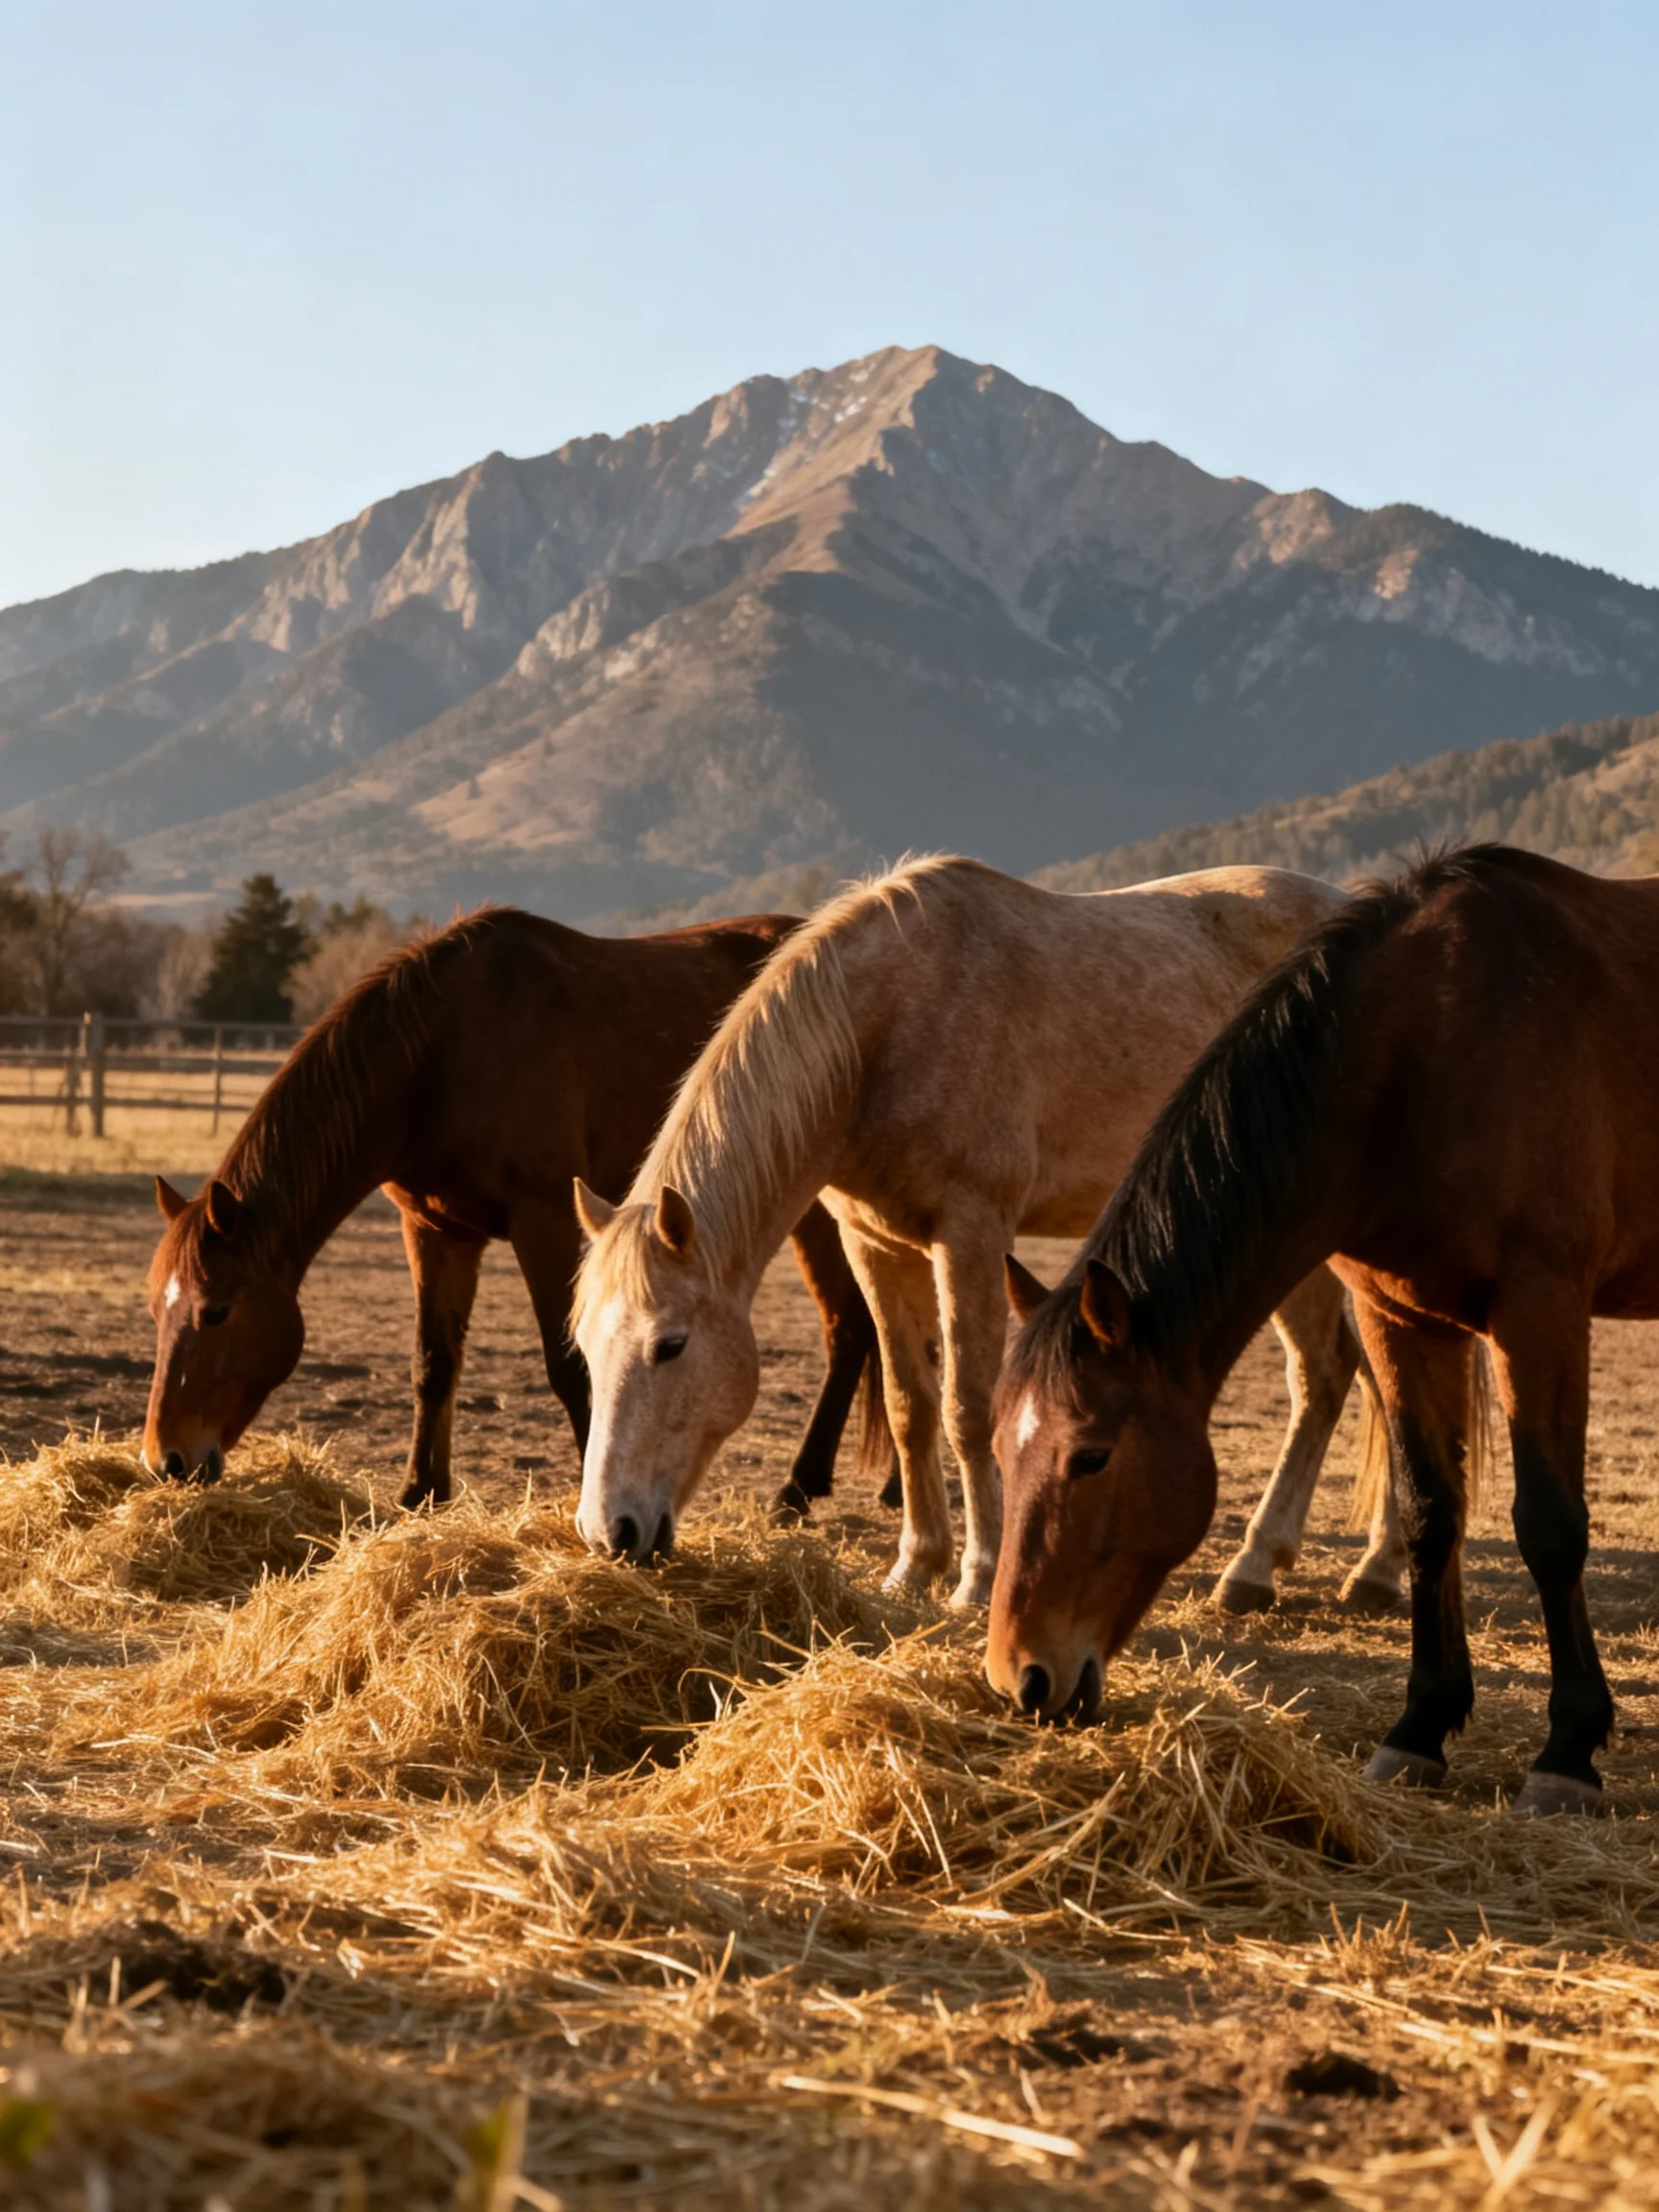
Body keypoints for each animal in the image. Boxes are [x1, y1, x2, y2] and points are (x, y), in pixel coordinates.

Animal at [144, 908, 881, 1511]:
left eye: (215, 1312)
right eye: (156, 1310)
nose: (166, 1459)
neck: (440, 1053)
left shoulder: (545, 1222)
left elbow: (569, 1368)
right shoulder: (435, 1231)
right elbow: (434, 1362)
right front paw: (421, 1490)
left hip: (817, 1213)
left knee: (851, 1329)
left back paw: (799, 1488)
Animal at [571, 854, 1401, 1611]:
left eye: (670, 1345)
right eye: (584, 1347)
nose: (609, 1532)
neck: (884, 1027)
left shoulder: (969, 1234)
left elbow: (968, 1407)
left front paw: (976, 1576)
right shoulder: (874, 1245)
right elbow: (911, 1405)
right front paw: (915, 1566)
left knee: (1341, 1377)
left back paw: (1289, 1567)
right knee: (1358, 1375)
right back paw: (1341, 1564)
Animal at [984, 842, 1659, 1815]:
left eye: (1092, 1457)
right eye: (1001, 1453)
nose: (1020, 1678)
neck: (1429, 1050)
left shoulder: (1543, 1309)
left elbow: (1550, 1525)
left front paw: (1567, 1749)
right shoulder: (1398, 1315)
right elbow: (1429, 1513)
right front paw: (1420, 1728)